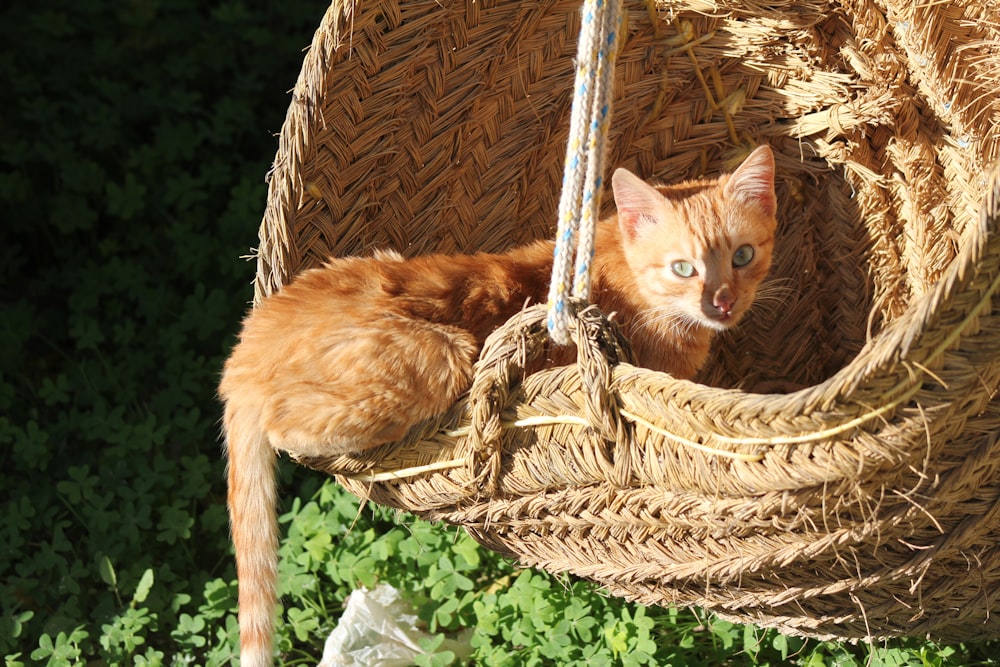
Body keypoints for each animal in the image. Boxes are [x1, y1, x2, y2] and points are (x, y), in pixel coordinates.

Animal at [221, 144, 780, 664]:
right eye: (683, 268)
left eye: (743, 256)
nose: (722, 303)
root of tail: (245, 356)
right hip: (443, 354)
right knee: (290, 430)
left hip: (384, 259)